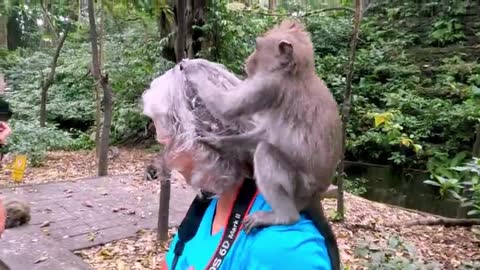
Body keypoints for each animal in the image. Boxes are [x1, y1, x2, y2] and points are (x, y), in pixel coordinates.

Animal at [179, 19, 342, 266]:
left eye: (257, 47)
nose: (248, 60)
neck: (294, 73)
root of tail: (315, 195)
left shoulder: (268, 86)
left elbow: (227, 108)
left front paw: (193, 68)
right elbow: (262, 133)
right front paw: (219, 142)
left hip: (299, 187)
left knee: (266, 153)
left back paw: (284, 217)